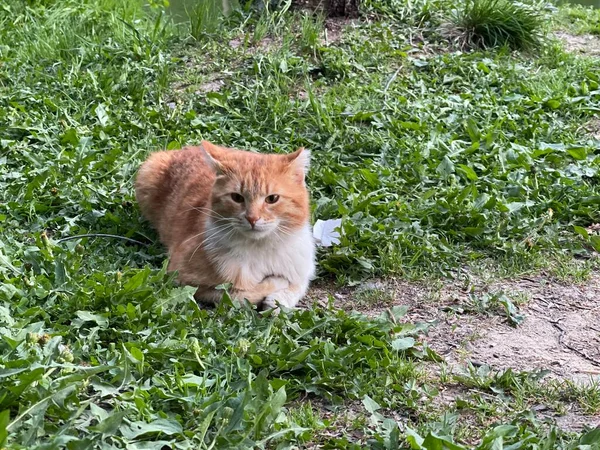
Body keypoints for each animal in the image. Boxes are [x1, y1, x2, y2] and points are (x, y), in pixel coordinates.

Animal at [134, 141, 316, 310]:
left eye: (272, 198)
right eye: (237, 197)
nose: (252, 218)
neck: (261, 249)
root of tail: (186, 148)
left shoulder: (302, 267)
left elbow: (298, 284)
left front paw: (279, 301)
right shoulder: (183, 278)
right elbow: (241, 294)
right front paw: (276, 284)